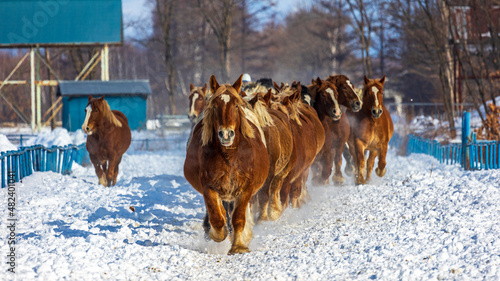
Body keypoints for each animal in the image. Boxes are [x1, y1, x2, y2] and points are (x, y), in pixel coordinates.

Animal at [184, 74, 270, 254]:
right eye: (215, 106)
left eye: (236, 105)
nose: (226, 134)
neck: (229, 155)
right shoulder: (209, 187)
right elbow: (217, 218)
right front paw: (215, 233)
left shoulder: (246, 188)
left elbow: (238, 218)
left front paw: (238, 246)